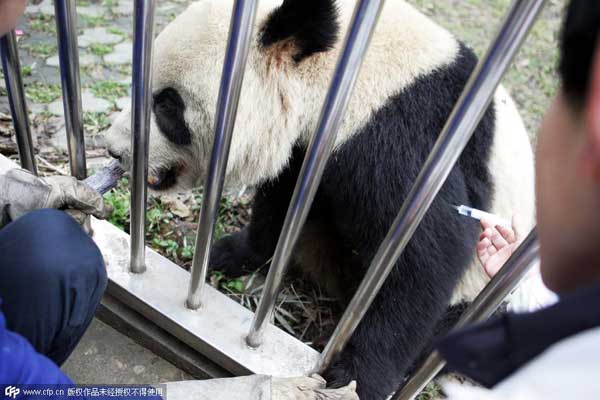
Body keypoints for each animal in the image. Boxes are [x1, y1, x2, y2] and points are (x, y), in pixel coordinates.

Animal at [103, 0, 536, 400]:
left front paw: (357, 378)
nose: (114, 151)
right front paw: (232, 253)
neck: (337, 71)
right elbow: (284, 200)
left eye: (167, 105)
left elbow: (429, 251)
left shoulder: (395, 127)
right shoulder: (308, 146)